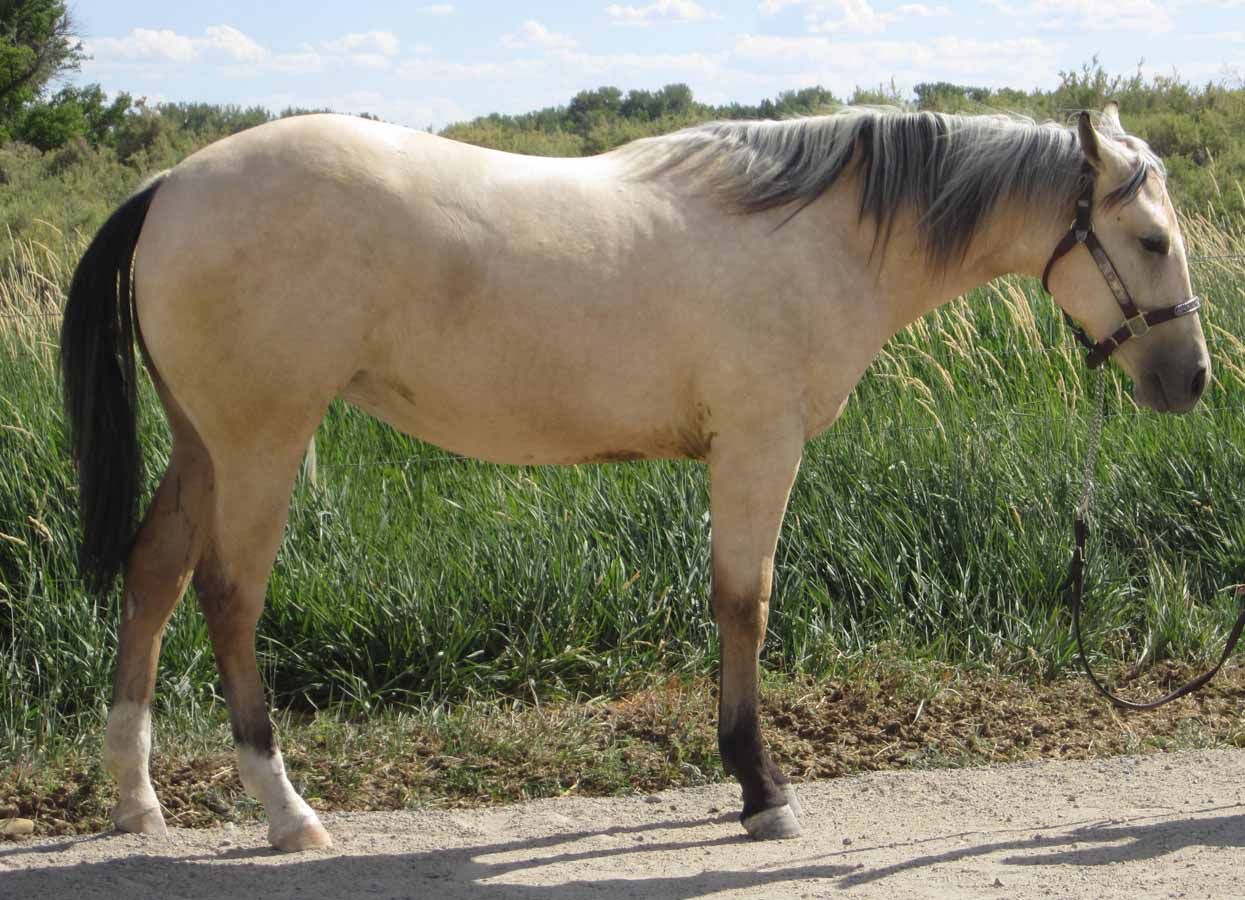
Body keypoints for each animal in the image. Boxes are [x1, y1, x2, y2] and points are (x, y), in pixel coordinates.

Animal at [60, 101, 1208, 850]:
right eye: (1150, 239)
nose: (1189, 379)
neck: (818, 235)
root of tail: (172, 185)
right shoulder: (758, 447)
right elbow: (744, 602)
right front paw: (760, 786)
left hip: (204, 442)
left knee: (153, 575)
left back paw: (135, 798)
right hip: (262, 441)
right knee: (228, 596)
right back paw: (287, 812)